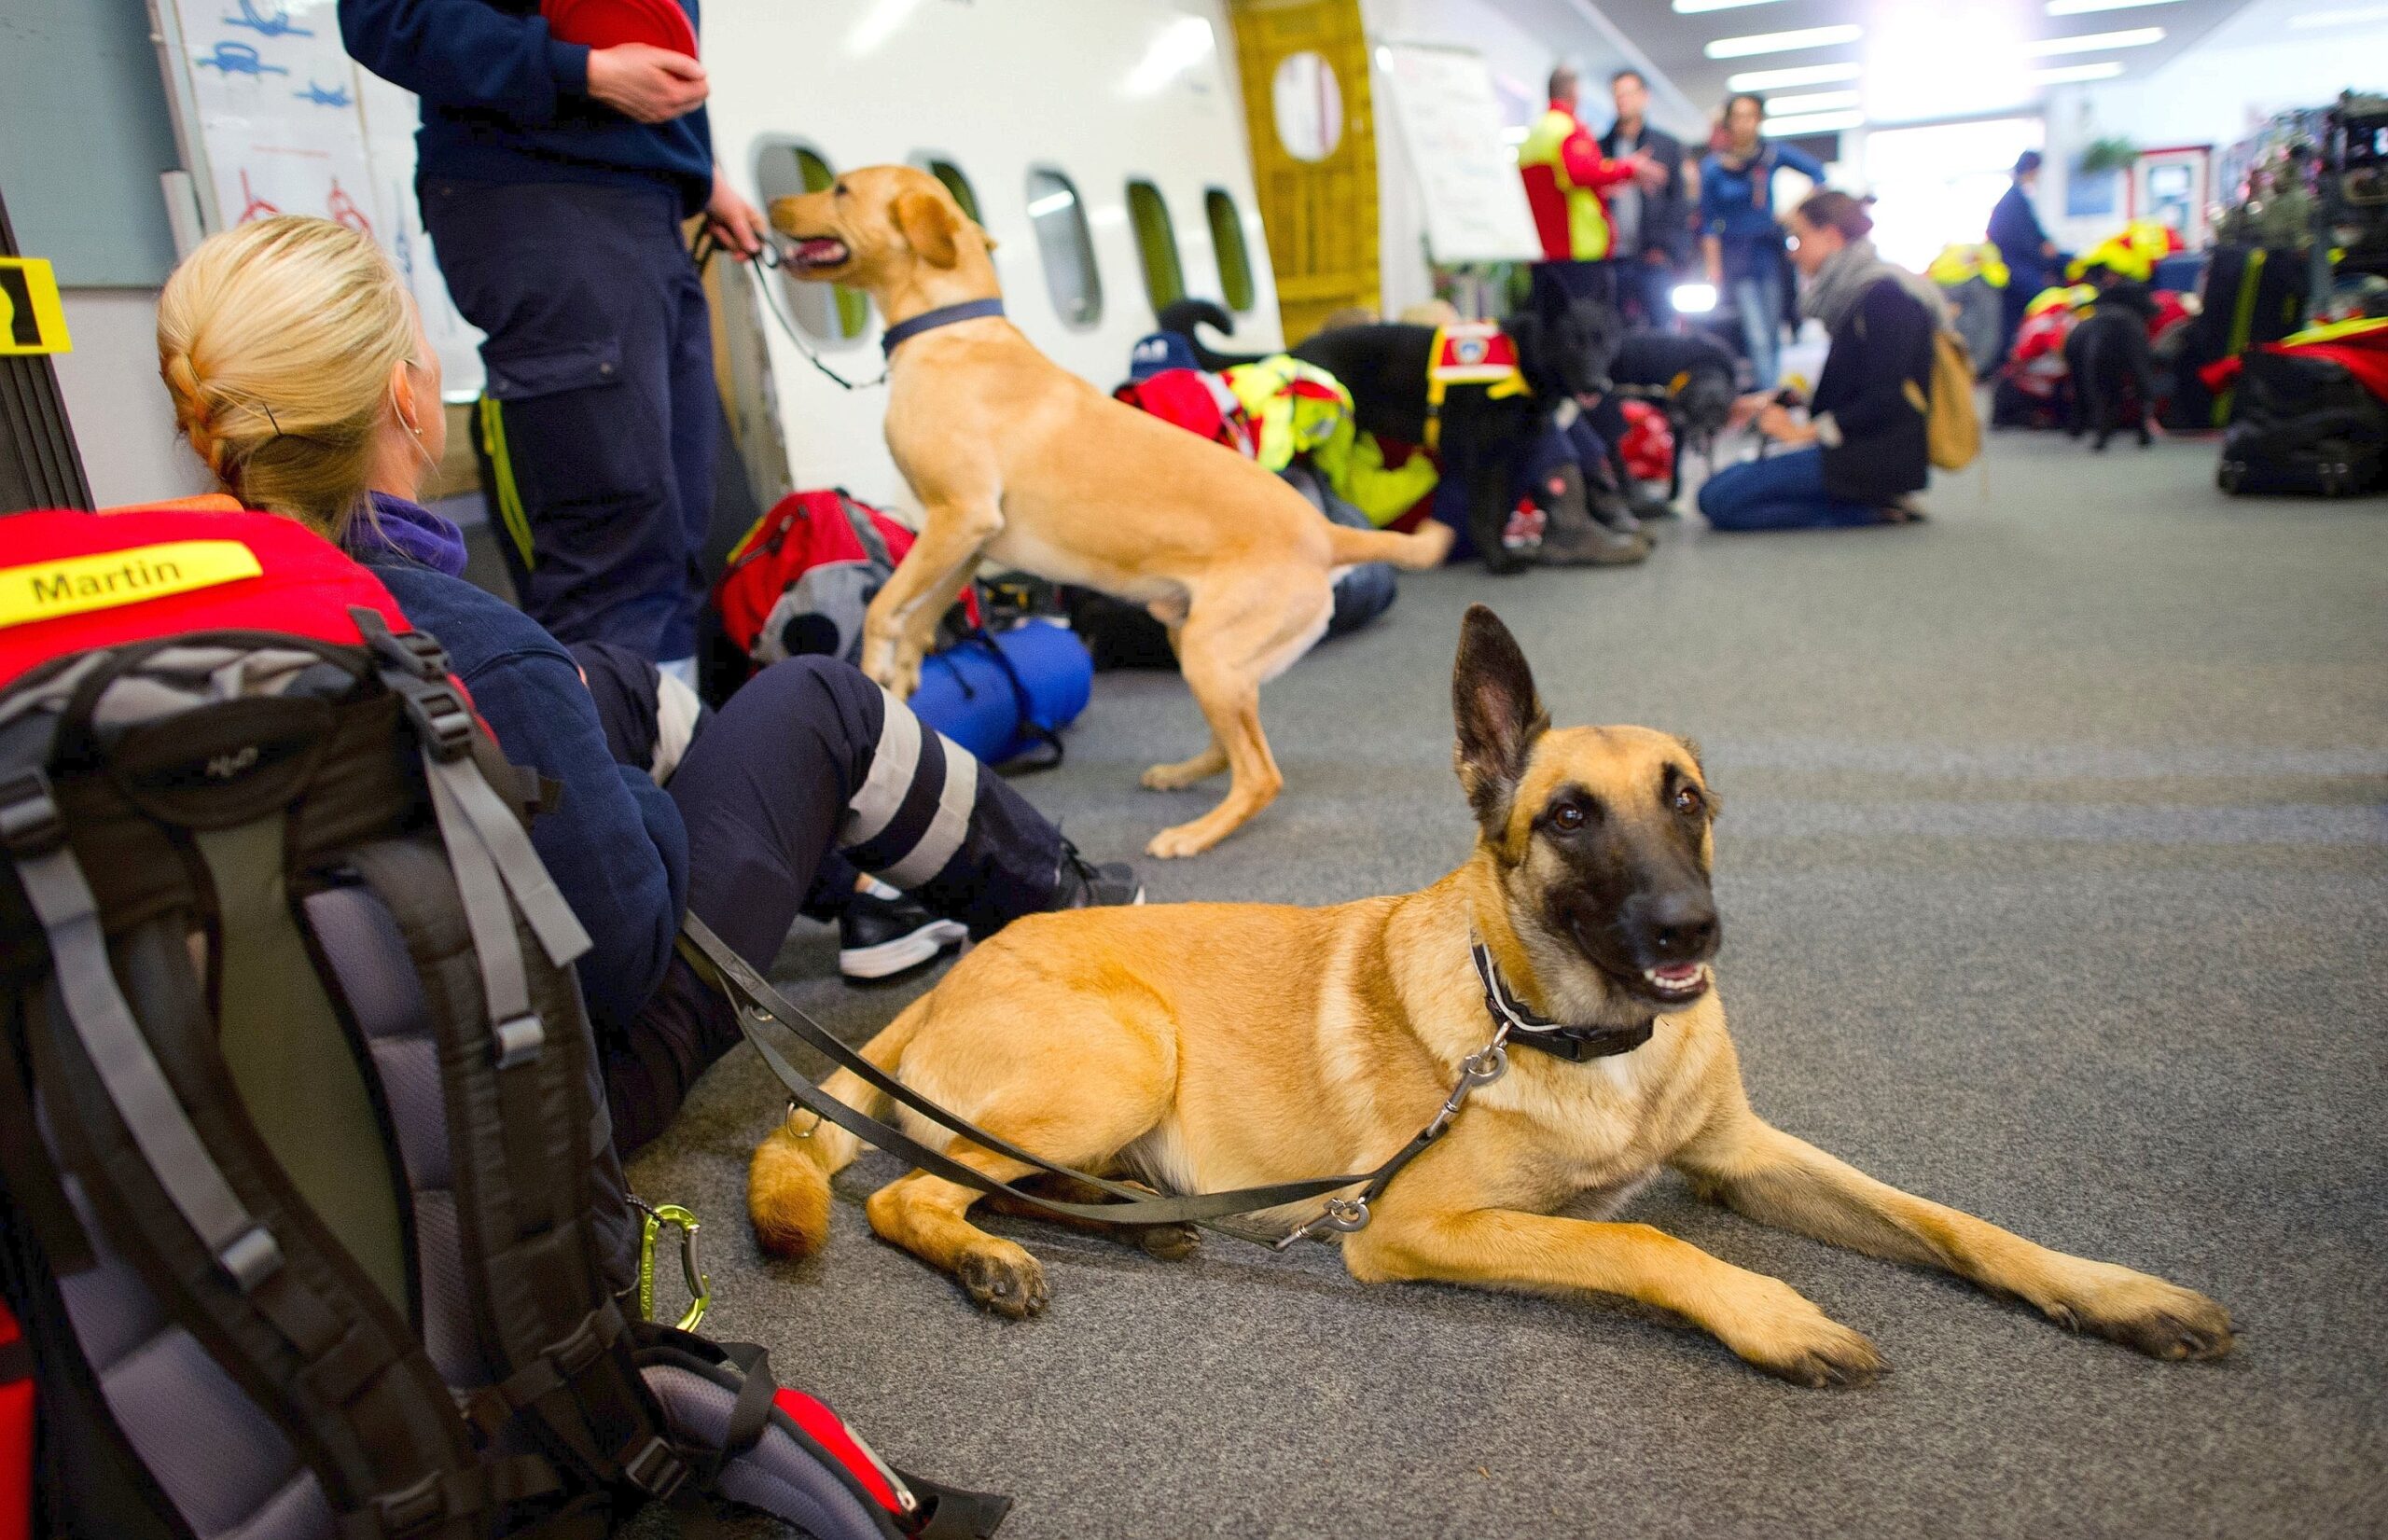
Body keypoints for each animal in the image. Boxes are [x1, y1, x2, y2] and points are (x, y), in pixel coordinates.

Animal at [749, 608, 2235, 1384]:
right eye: (1570, 817)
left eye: (1685, 801)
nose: (1692, 928)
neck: (1578, 1032)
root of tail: (967, 963)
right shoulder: (1417, 1224)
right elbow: (1646, 1248)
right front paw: (1769, 1312)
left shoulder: (1746, 1154)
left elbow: (1950, 1219)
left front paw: (2107, 1291)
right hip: (1127, 1047)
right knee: (903, 1189)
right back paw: (994, 1249)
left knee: (972, 1175)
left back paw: (1126, 1218)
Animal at [773, 171, 1442, 864]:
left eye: (840, 189)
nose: (772, 207)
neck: (952, 330)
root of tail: (1326, 532)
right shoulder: (967, 541)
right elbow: (923, 612)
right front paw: (903, 674)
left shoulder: (959, 517)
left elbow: (885, 607)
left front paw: (874, 663)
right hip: (1197, 645)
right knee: (1231, 748)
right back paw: (1184, 774)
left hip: (1209, 651)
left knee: (1261, 774)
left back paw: (1196, 832)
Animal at [1160, 296, 1643, 570]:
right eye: (1573, 341)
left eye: (1604, 340)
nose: (1600, 385)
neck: (1522, 357)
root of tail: (1295, 350)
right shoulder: (1483, 460)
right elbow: (1484, 515)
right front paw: (1499, 562)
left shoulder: (1507, 459)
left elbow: (1498, 510)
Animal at [2062, 278, 2159, 451]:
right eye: (2142, 294)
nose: (2158, 308)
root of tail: (2114, 326)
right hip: (2138, 367)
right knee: (2141, 399)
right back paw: (2142, 438)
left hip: (2095, 377)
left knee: (2098, 405)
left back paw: (2099, 440)